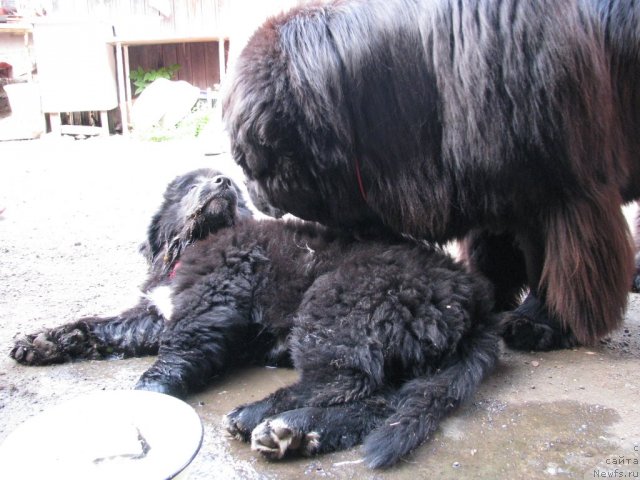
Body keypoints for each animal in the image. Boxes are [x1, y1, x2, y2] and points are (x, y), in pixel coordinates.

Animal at [11, 169, 500, 468]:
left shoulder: (216, 297)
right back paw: (300, 432)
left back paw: (263, 416)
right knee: (380, 401)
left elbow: (179, 349)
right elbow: (102, 325)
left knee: (344, 382)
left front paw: (148, 394)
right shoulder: (158, 313)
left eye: (226, 183)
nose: (223, 180)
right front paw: (42, 341)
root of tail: (472, 301)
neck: (197, 242)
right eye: (188, 185)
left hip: (337, 304)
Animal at [224, 0, 640, 352]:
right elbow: (493, 245)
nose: (245, 184)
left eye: (250, 159)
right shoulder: (490, 175)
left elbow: (548, 259)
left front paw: (538, 322)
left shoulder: (556, 189)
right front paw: (486, 291)